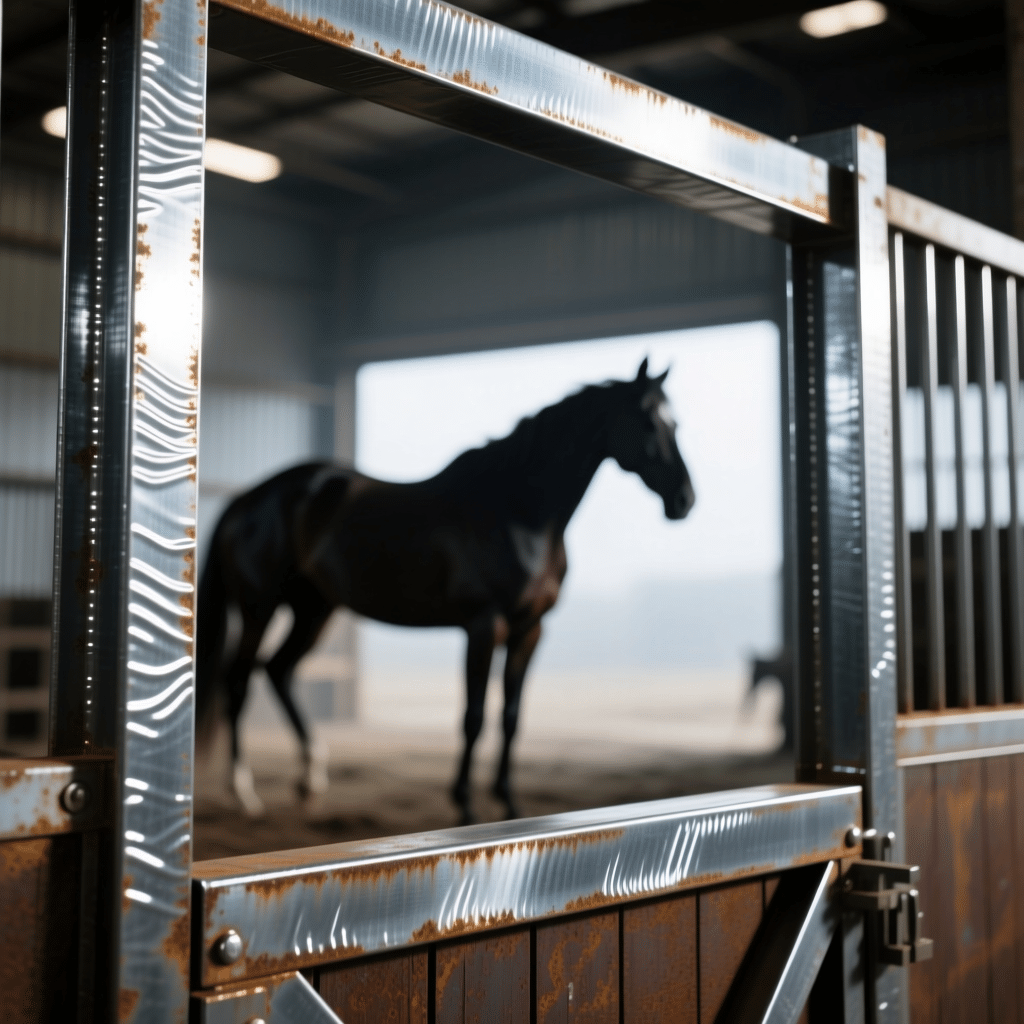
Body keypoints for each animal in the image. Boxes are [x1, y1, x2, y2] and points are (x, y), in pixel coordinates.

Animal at [196, 358, 695, 821]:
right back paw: (244, 794)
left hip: (314, 609)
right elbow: (473, 717)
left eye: (675, 422)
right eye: (649, 421)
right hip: (261, 608)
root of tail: (248, 499)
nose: (685, 500)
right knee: (238, 682)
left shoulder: (530, 630)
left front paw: (509, 804)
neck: (520, 514)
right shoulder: (483, 626)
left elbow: (511, 718)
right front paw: (466, 806)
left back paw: (310, 780)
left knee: (278, 671)